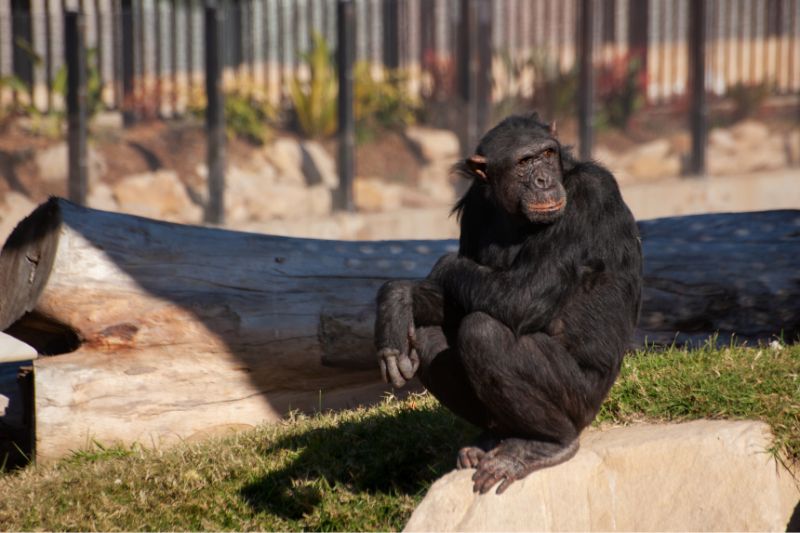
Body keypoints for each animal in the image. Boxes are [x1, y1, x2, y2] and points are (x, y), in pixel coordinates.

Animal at [376, 112, 644, 494]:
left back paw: (545, 444)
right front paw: (396, 301)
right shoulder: (474, 205)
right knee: (429, 335)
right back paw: (493, 439)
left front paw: (436, 269)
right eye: (523, 163)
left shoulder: (589, 196)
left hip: (581, 400)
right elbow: (456, 302)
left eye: (546, 154)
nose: (544, 180)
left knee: (483, 332)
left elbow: (523, 296)